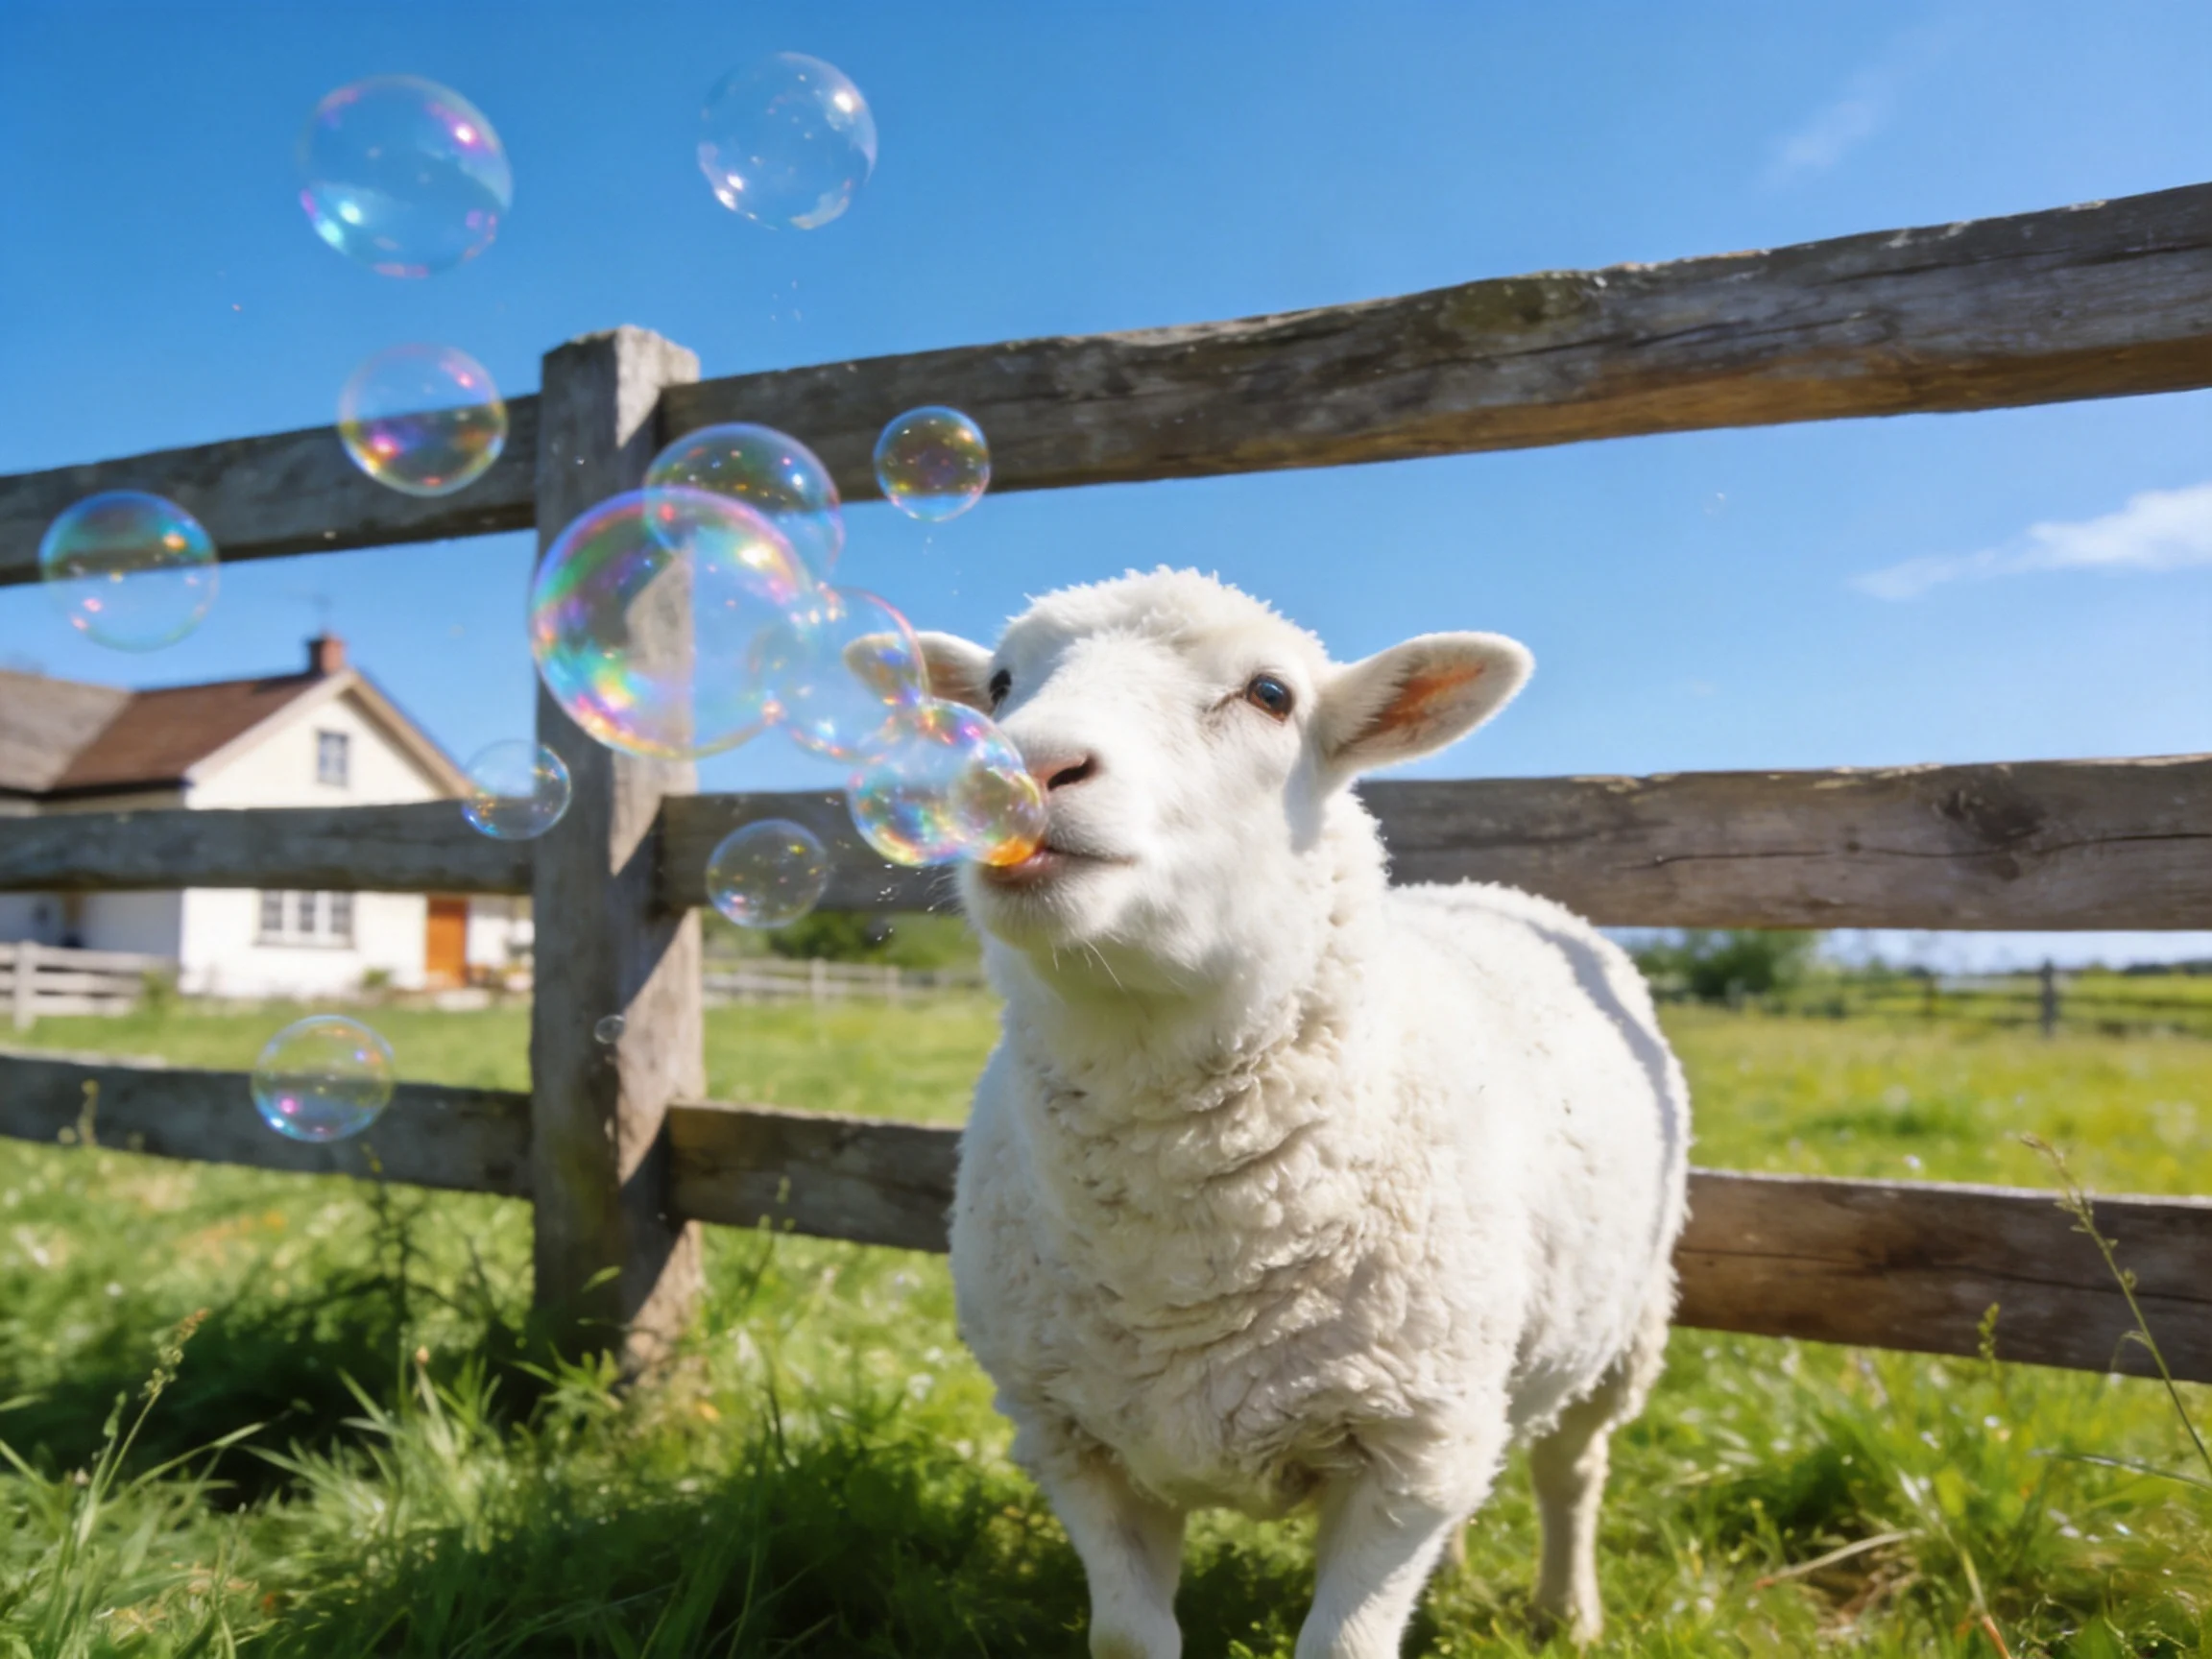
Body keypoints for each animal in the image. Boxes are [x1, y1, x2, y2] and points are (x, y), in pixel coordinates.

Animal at [918, 569, 1690, 1659]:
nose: (1019, 771)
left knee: (1570, 1471)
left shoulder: (1407, 1453)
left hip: (1620, 1332)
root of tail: (1496, 888)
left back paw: (1567, 1610)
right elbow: (1130, 1639)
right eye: (996, 685)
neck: (1178, 1265)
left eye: (1271, 694)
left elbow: (1347, 1644)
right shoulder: (1070, 1438)